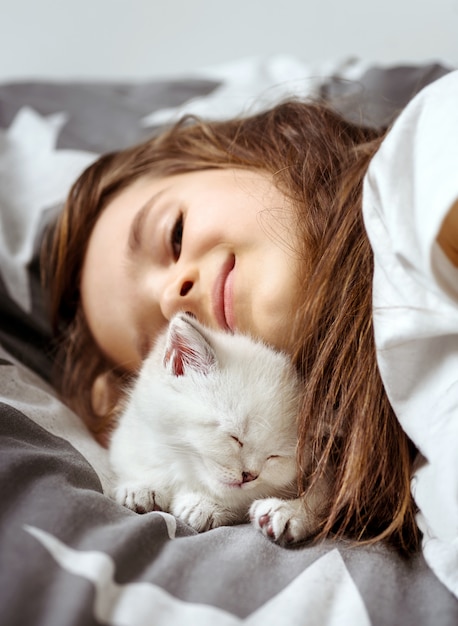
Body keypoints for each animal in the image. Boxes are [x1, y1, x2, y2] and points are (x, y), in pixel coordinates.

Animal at [110, 312, 326, 540]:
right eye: (235, 437)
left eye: (274, 456)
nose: (249, 475)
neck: (186, 470)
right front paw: (142, 486)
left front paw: (205, 506)